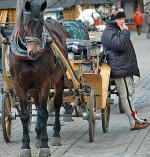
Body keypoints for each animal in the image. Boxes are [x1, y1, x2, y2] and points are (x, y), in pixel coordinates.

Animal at [9, 0, 67, 156]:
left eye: (41, 24)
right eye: (25, 23)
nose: (33, 52)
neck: (27, 59)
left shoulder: (45, 82)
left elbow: (43, 113)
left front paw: (45, 145)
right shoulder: (18, 84)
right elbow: (24, 115)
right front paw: (25, 145)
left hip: (59, 80)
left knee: (57, 103)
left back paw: (55, 134)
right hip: (33, 88)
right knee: (36, 104)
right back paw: (38, 136)